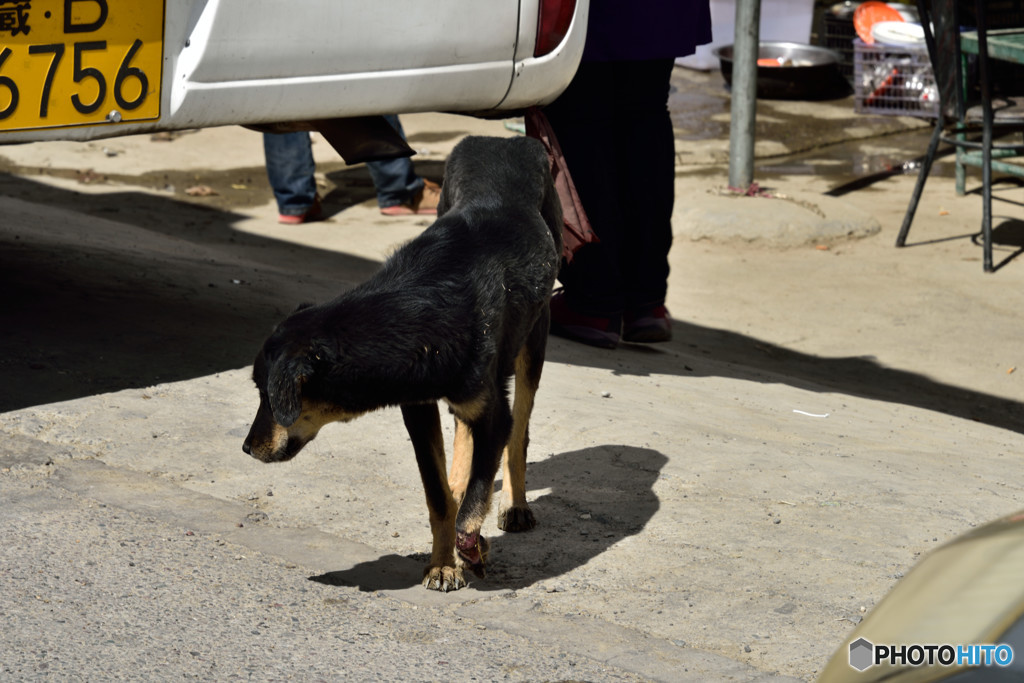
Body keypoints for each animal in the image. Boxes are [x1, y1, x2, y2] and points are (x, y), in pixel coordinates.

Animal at [243, 135, 565, 593]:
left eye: (268, 395)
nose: (247, 447)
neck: (419, 314)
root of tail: (504, 138)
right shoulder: (418, 407)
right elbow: (439, 498)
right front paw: (443, 563)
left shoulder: (492, 414)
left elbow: (478, 491)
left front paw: (472, 548)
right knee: (463, 439)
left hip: (534, 339)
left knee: (517, 434)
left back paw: (513, 505)